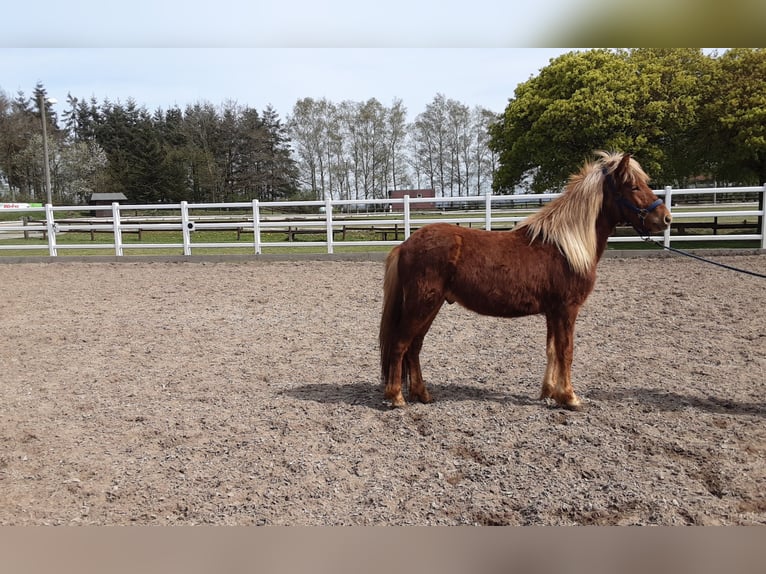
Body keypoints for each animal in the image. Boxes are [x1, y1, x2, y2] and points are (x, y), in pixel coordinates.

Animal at [380, 151, 676, 412]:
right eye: (634, 186)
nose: (665, 218)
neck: (564, 246)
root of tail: (405, 245)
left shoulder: (553, 312)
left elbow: (552, 350)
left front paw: (550, 393)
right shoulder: (567, 309)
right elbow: (567, 351)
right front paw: (570, 397)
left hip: (432, 305)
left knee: (415, 347)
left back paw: (422, 394)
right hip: (422, 304)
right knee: (401, 345)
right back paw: (396, 397)